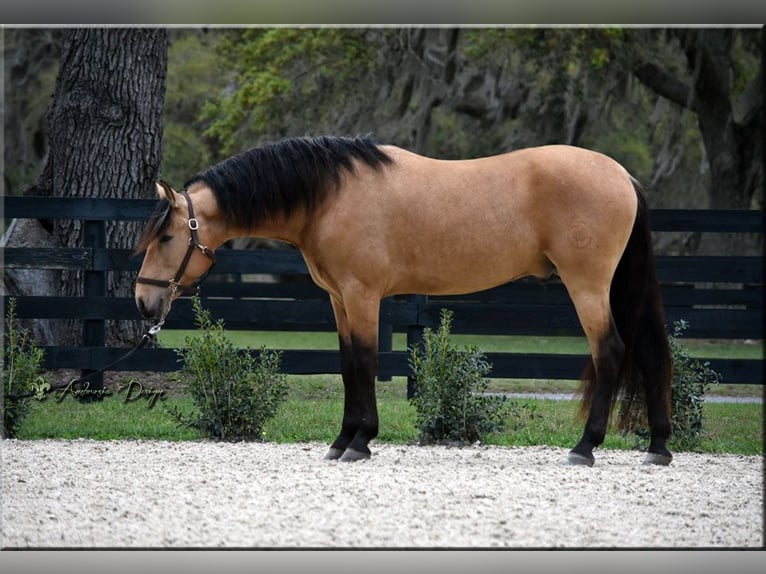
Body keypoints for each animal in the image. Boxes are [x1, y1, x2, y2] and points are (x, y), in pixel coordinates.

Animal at [135, 135, 676, 468]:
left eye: (166, 236)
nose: (142, 301)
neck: (330, 196)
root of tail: (623, 176)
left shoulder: (363, 295)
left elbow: (366, 362)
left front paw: (360, 441)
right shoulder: (339, 299)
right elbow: (348, 364)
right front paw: (342, 440)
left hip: (587, 287)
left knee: (610, 352)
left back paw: (585, 447)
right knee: (649, 354)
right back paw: (658, 447)